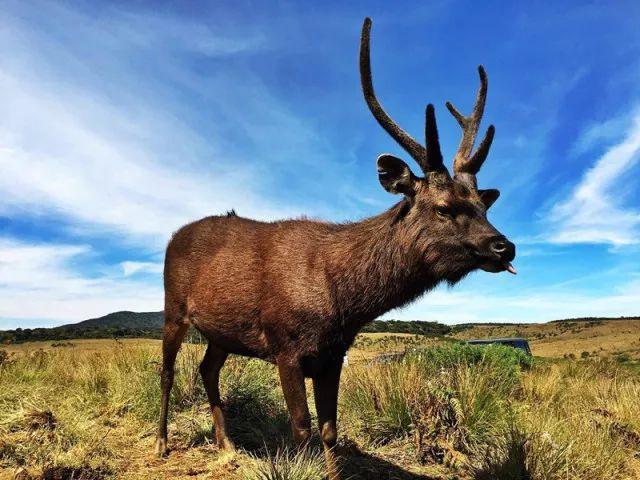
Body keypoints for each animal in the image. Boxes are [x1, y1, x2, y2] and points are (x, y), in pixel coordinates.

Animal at [155, 15, 516, 480]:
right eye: (444, 207)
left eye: (482, 205)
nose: (504, 247)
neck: (343, 301)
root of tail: (173, 237)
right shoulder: (285, 346)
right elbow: (301, 426)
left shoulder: (333, 354)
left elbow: (330, 429)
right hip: (173, 306)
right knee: (167, 370)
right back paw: (162, 443)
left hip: (222, 331)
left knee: (206, 368)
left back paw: (227, 444)